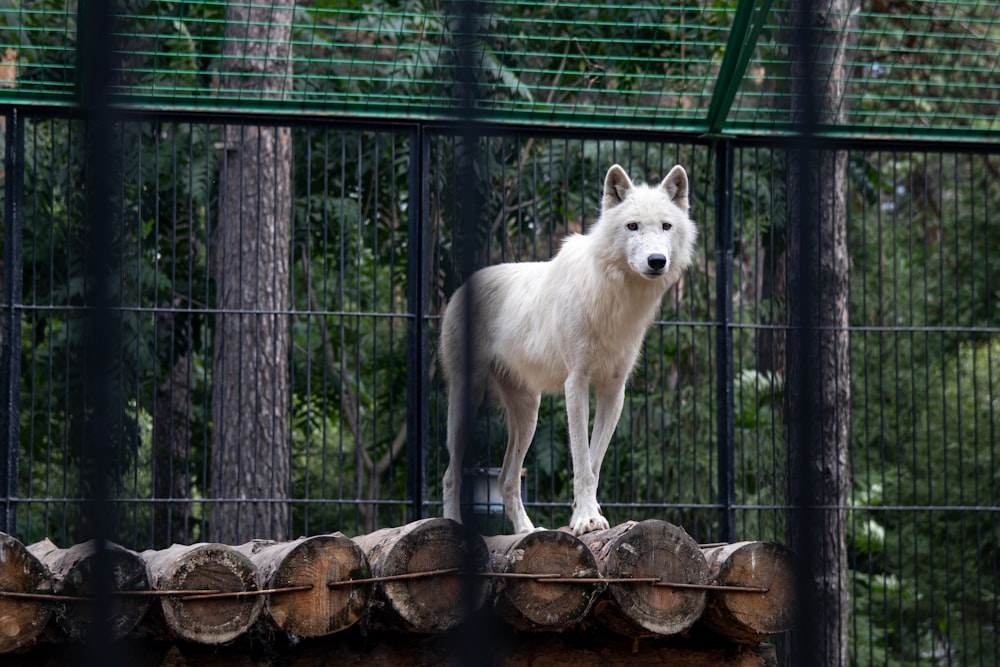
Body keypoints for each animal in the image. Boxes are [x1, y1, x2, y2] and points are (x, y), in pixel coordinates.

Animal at [442, 163, 700, 536]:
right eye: (632, 226)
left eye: (666, 226)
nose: (656, 261)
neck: (616, 299)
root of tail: (462, 287)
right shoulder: (576, 383)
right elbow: (580, 457)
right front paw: (585, 520)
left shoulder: (614, 390)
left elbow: (593, 463)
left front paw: (586, 514)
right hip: (469, 399)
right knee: (451, 474)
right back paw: (452, 527)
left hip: (529, 413)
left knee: (506, 479)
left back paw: (527, 532)